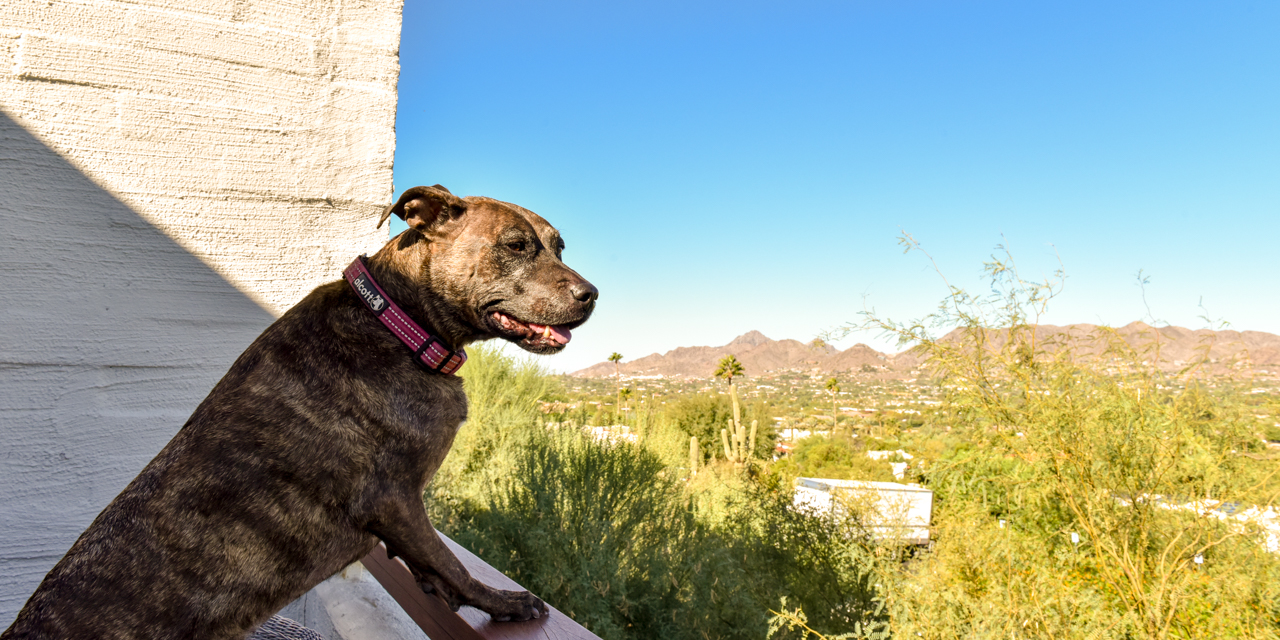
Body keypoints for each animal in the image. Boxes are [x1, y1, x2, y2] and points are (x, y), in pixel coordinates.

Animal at [1, 186, 593, 640]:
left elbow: (434, 566)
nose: (591, 294)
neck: (397, 321)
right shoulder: (395, 498)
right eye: (515, 246)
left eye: (560, 247)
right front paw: (504, 602)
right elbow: (450, 562)